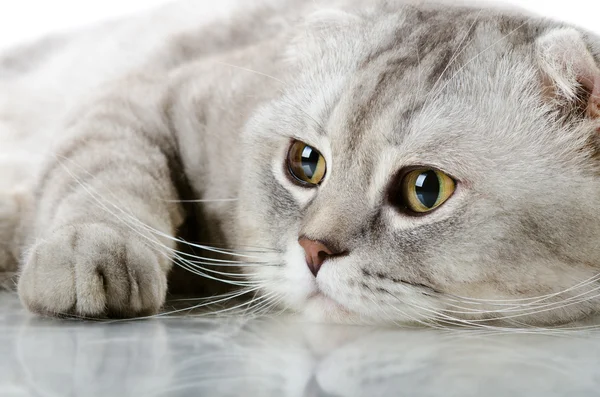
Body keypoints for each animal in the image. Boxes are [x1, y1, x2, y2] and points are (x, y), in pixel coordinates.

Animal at [1, 0, 600, 326]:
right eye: (305, 163)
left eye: (425, 189)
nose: (312, 250)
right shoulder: (150, 93)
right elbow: (105, 175)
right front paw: (87, 253)